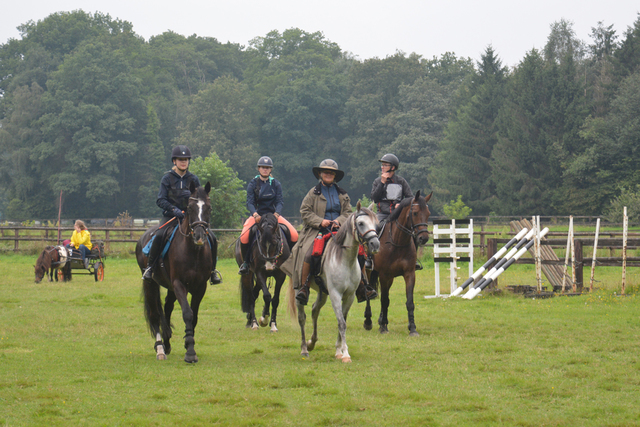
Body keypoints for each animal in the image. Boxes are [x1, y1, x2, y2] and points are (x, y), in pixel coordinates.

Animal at [135, 182, 215, 362]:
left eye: (208, 208)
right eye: (190, 208)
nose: (199, 236)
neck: (193, 252)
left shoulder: (200, 287)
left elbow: (194, 316)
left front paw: (188, 344)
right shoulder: (179, 284)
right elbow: (187, 313)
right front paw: (190, 352)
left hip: (170, 287)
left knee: (167, 307)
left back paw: (166, 342)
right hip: (151, 284)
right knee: (155, 314)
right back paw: (160, 349)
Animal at [290, 202, 380, 362]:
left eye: (376, 224)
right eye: (361, 223)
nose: (375, 244)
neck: (345, 260)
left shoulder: (349, 296)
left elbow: (343, 320)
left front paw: (339, 351)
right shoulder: (336, 295)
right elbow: (341, 323)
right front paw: (345, 354)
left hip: (323, 293)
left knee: (315, 310)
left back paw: (312, 342)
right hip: (299, 290)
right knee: (302, 318)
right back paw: (304, 349)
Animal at [362, 191, 432, 338]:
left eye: (428, 213)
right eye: (415, 213)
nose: (423, 238)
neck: (397, 242)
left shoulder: (409, 274)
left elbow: (409, 302)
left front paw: (412, 328)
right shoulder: (384, 275)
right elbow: (384, 300)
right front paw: (383, 327)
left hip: (390, 278)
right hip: (369, 271)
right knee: (368, 292)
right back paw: (368, 321)